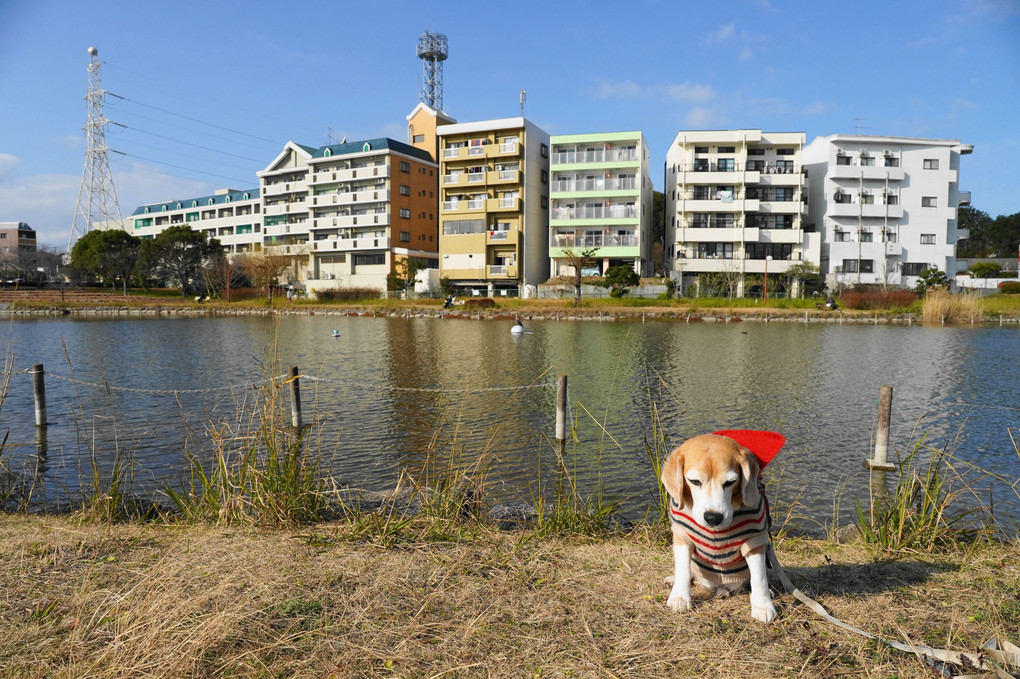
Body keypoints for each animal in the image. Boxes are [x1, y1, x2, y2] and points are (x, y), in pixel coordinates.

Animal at [656, 434, 775, 619]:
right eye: (694, 481)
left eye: (730, 482)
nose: (713, 518)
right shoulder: (682, 537)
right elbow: (683, 570)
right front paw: (680, 597)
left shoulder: (754, 541)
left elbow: (759, 577)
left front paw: (763, 606)